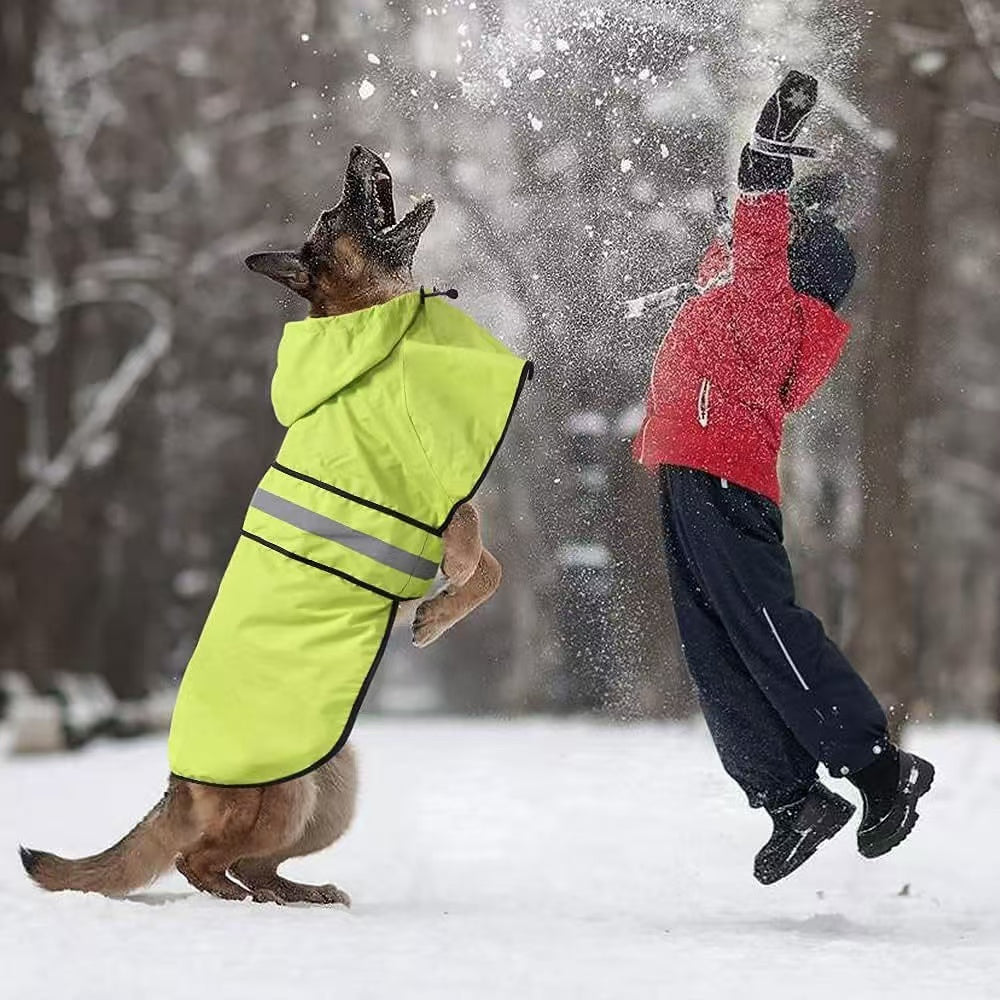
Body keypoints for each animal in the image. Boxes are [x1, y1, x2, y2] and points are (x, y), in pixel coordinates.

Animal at [21, 148, 516, 908]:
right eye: (332, 212)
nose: (360, 152)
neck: (371, 329)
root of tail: (176, 786)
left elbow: (487, 562)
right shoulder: (442, 502)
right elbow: (482, 565)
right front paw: (440, 612)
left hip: (331, 789)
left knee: (254, 865)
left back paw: (299, 897)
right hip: (278, 798)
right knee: (199, 860)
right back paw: (242, 901)